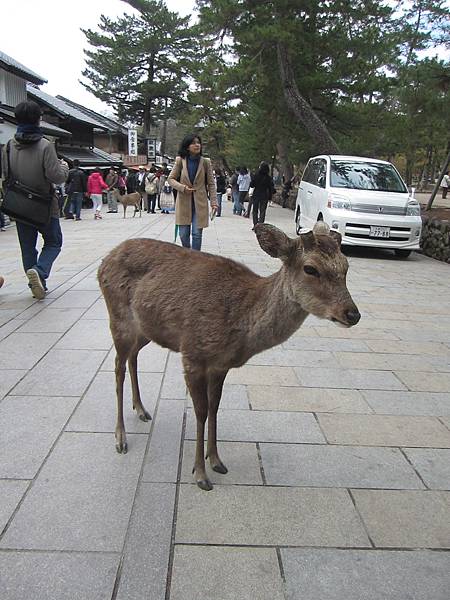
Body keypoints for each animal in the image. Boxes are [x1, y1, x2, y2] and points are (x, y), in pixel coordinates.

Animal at [99, 223, 362, 490]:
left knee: (132, 357)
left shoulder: (220, 365)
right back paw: (120, 438)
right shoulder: (192, 353)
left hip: (146, 329)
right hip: (118, 317)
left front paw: (216, 460)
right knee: (118, 365)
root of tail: (106, 258)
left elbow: (215, 406)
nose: (352, 314)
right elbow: (201, 411)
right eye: (310, 268)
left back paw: (141, 409)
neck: (240, 324)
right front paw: (200, 474)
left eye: (346, 266)